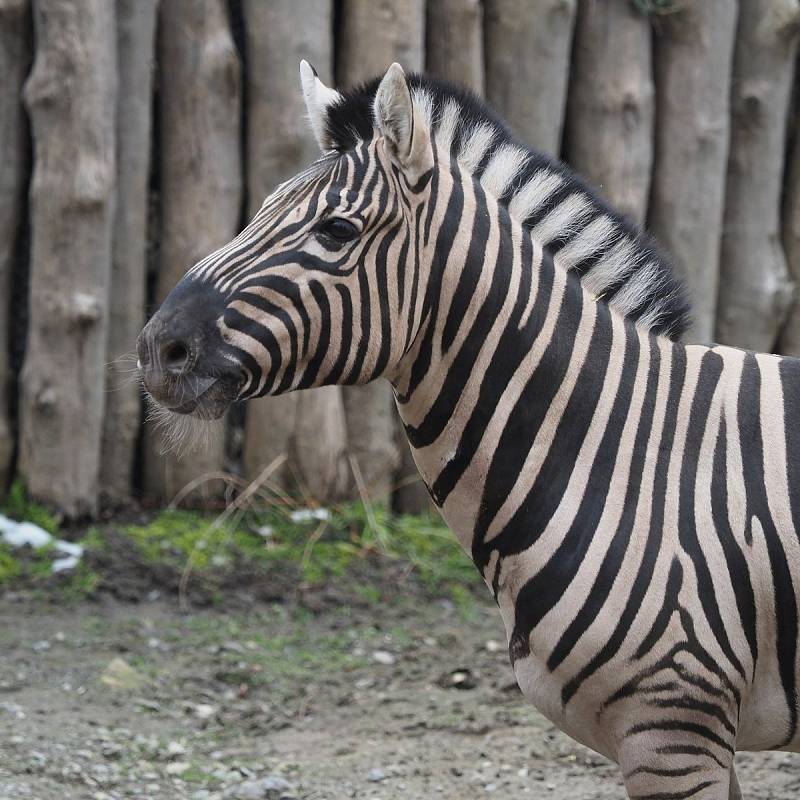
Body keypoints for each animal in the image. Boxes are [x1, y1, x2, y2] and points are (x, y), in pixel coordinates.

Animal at [138, 64, 800, 800]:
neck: (615, 451)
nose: (157, 349)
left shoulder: (676, 726)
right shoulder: (695, 735)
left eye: (336, 230)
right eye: (258, 212)